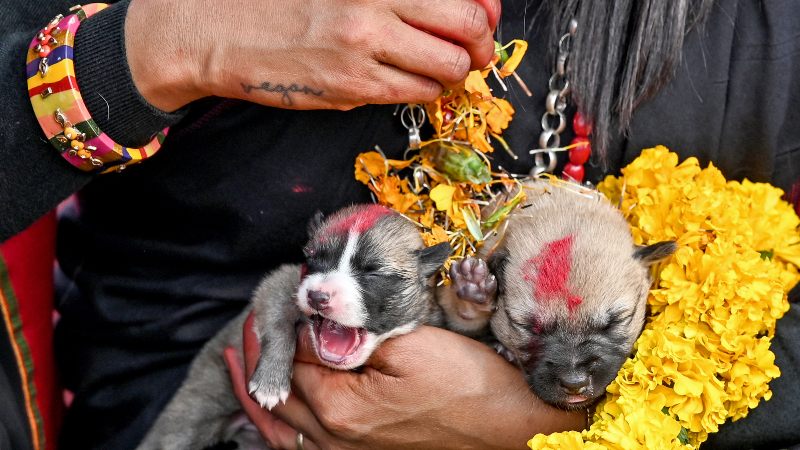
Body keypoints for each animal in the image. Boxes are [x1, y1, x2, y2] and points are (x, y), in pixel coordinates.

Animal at [138, 205, 450, 450]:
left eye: (372, 272)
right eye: (312, 260)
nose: (317, 296)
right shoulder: (281, 282)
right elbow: (277, 323)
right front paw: (271, 379)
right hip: (195, 406)